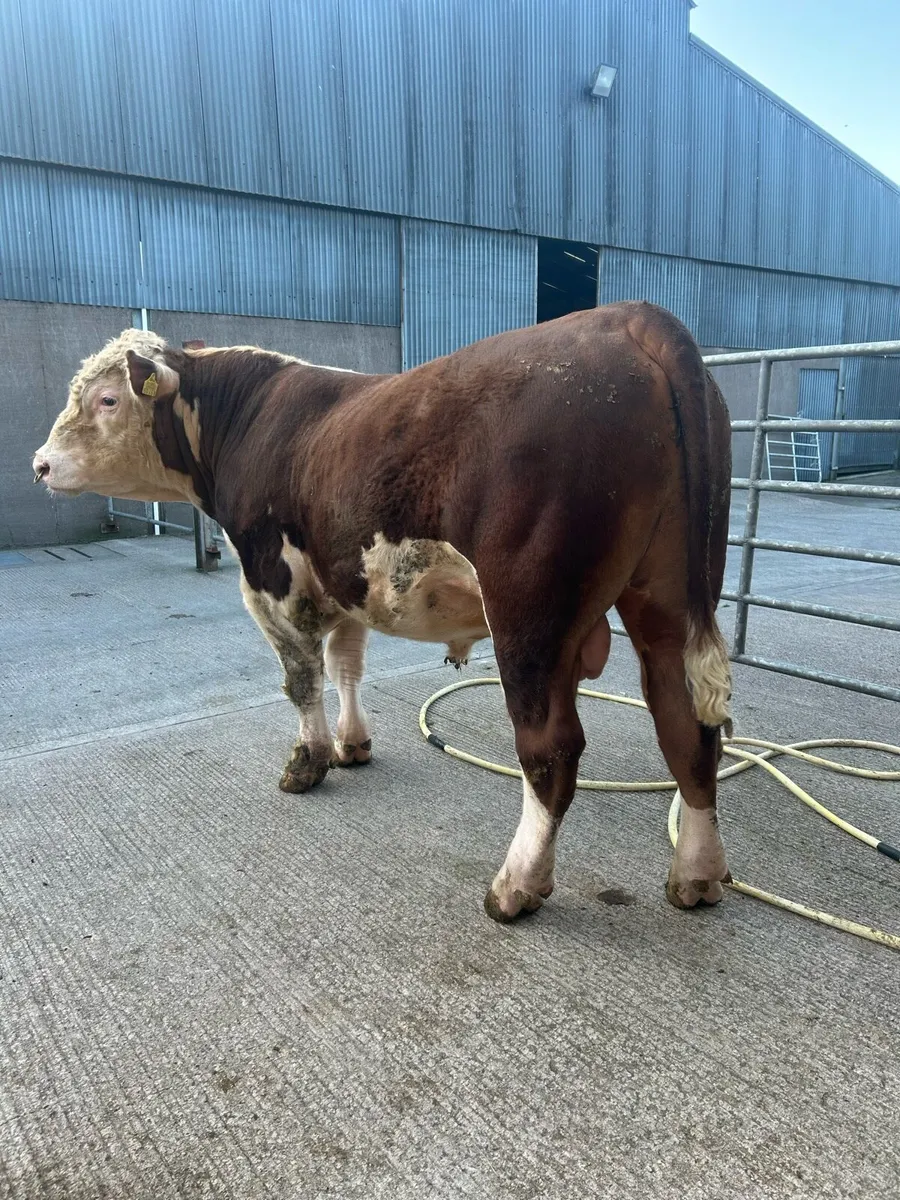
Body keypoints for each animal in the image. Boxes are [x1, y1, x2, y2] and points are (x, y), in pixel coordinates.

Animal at [32, 302, 733, 923]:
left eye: (108, 400)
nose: (39, 463)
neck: (247, 417)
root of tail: (629, 316)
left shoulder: (271, 579)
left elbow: (302, 677)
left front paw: (308, 762)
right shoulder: (344, 578)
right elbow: (346, 664)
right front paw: (352, 744)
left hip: (530, 613)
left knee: (552, 749)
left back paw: (516, 887)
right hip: (668, 594)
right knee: (686, 723)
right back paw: (696, 875)